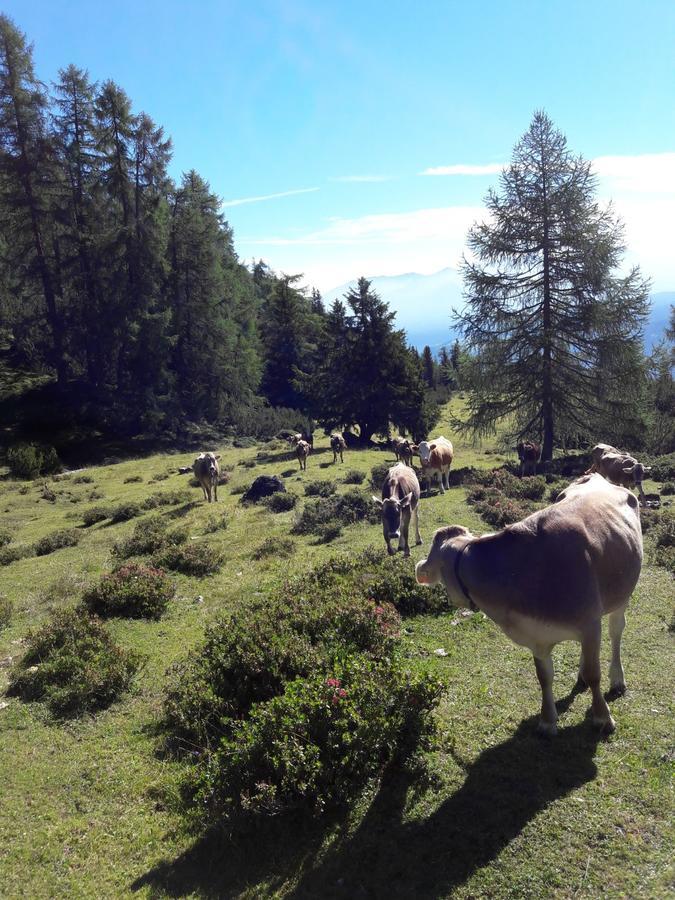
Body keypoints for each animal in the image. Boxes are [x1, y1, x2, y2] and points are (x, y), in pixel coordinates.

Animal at [418, 474, 644, 736]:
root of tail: (596, 476)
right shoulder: (537, 635)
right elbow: (544, 677)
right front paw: (547, 721)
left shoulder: (589, 624)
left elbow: (594, 674)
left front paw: (603, 718)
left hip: (622, 595)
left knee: (616, 632)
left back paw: (617, 680)